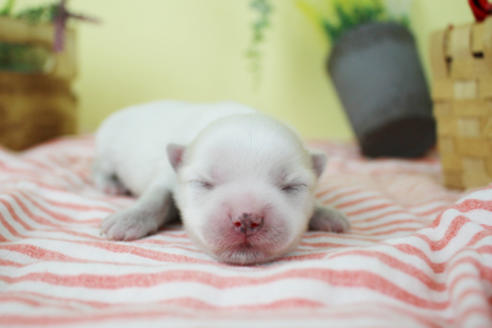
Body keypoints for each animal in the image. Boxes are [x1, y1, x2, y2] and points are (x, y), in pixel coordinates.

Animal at [95, 101, 350, 266]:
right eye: (203, 183)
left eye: (293, 187)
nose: (247, 219)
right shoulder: (167, 176)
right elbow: (156, 199)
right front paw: (127, 220)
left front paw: (327, 214)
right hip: (106, 147)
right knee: (98, 168)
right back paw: (110, 184)